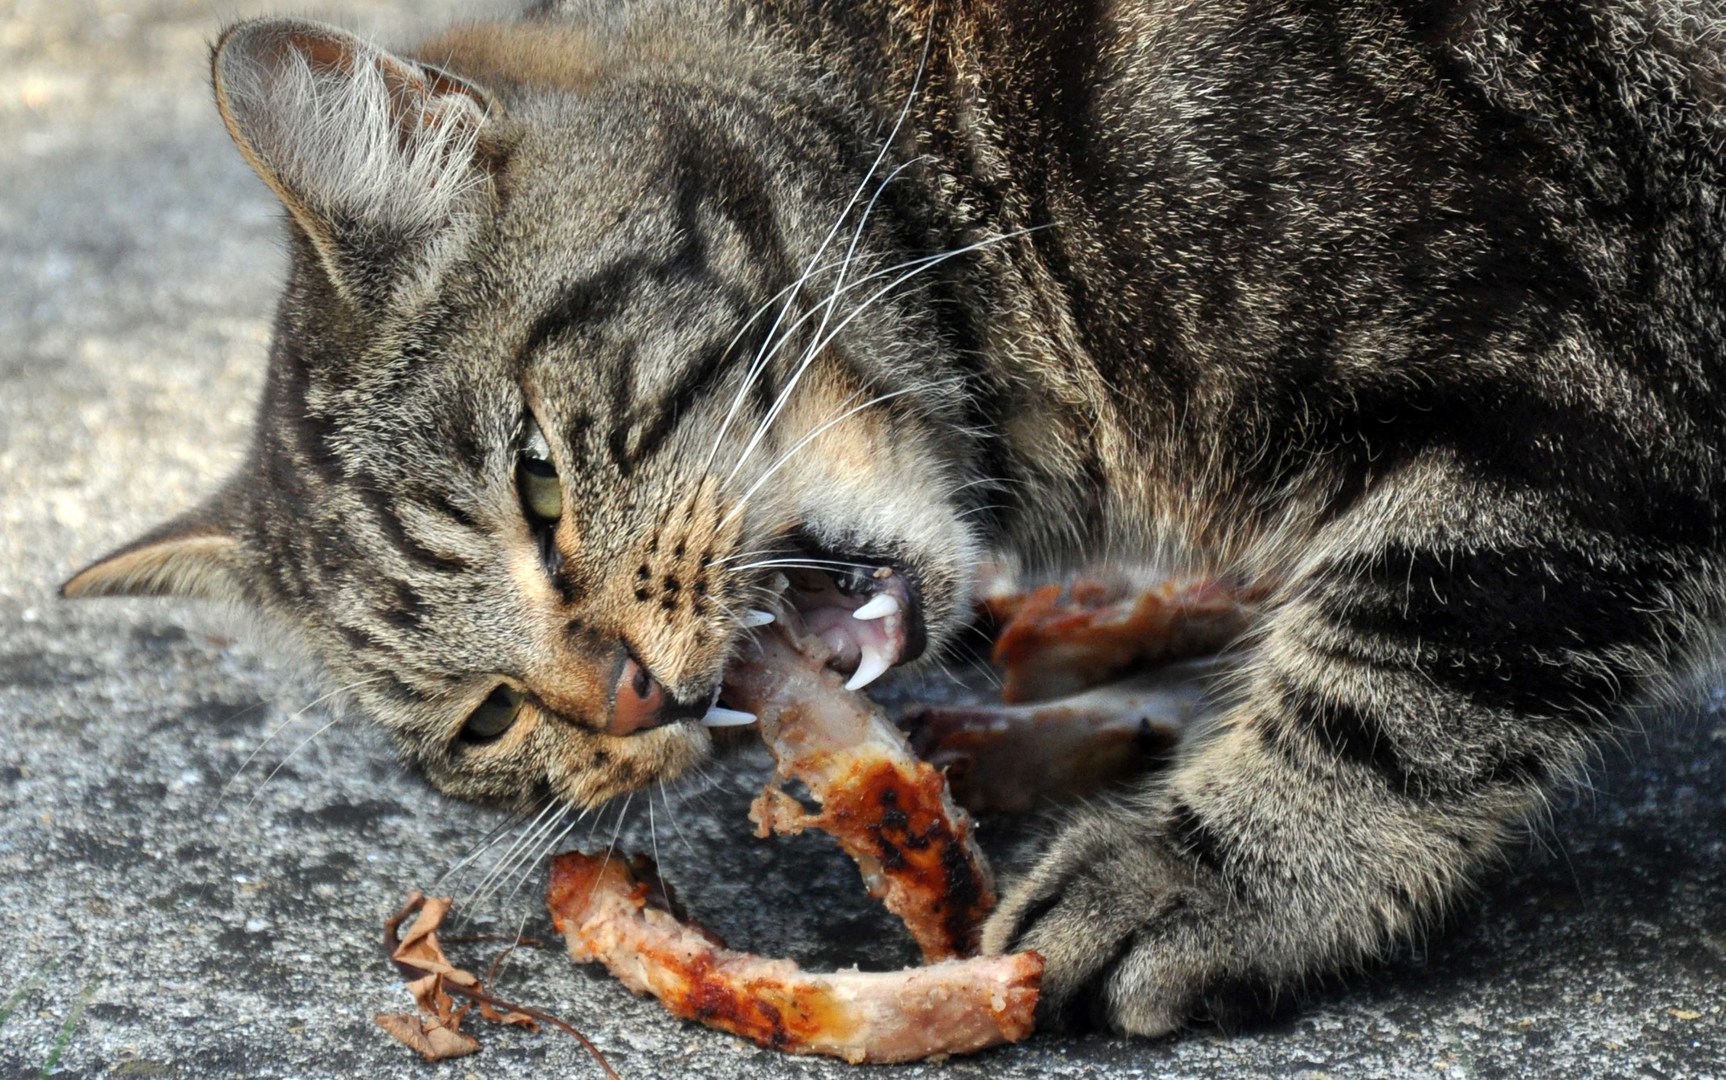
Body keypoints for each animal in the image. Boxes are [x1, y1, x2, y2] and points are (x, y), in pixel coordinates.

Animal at [60, 0, 1719, 1035]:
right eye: (486, 721)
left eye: (537, 479)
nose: (623, 695)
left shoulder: (1571, 388)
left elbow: (1398, 678)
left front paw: (1202, 879)